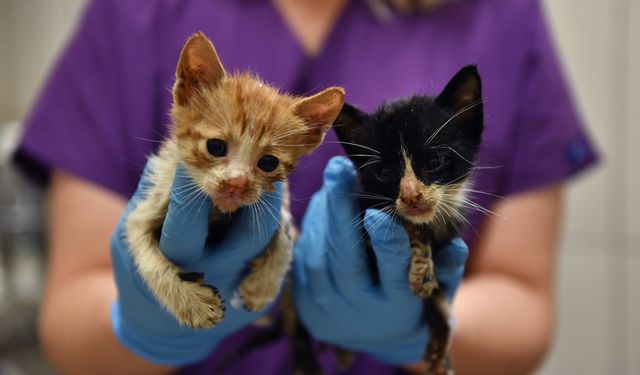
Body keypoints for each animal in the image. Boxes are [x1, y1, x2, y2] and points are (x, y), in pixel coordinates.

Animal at [126, 34, 344, 328]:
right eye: (216, 146)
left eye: (268, 162)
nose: (237, 183)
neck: (218, 212)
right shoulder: (147, 206)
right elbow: (147, 258)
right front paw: (192, 304)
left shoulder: (276, 203)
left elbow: (285, 233)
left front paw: (263, 287)